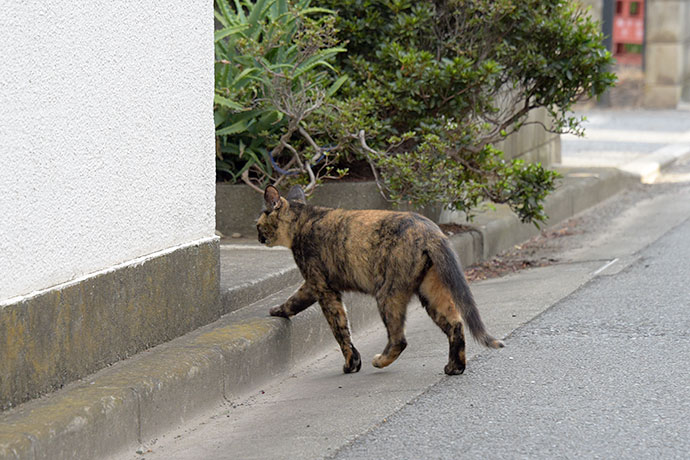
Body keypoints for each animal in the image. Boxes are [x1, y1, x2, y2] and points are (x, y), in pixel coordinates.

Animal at [255, 185, 502, 376]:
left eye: (258, 224)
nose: (257, 236)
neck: (303, 219)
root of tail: (431, 231)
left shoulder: (322, 286)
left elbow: (340, 329)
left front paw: (351, 364)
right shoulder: (313, 285)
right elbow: (294, 300)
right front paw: (277, 310)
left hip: (388, 294)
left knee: (400, 339)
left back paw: (380, 361)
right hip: (431, 292)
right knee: (456, 324)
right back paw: (454, 367)